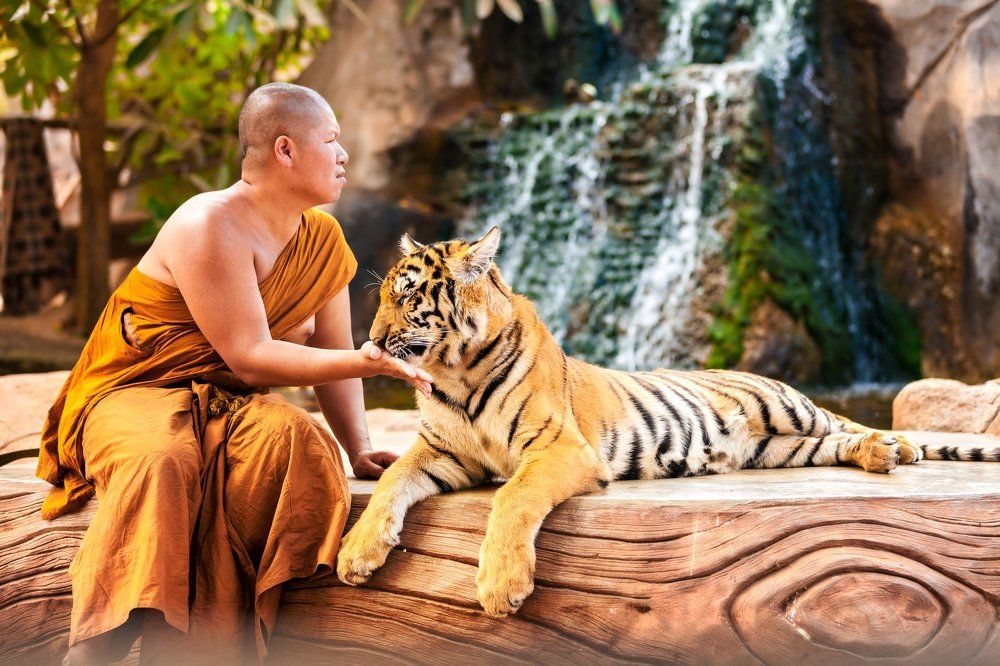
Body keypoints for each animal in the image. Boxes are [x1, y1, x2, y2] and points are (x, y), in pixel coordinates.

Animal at [335, 226, 1000, 617]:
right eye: (383, 296)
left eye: (407, 297)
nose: (371, 341)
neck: (456, 374)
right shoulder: (440, 452)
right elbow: (391, 482)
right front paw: (357, 553)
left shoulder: (560, 448)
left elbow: (513, 498)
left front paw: (501, 586)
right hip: (781, 447)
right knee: (833, 443)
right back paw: (879, 454)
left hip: (789, 406)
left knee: (845, 423)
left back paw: (895, 446)